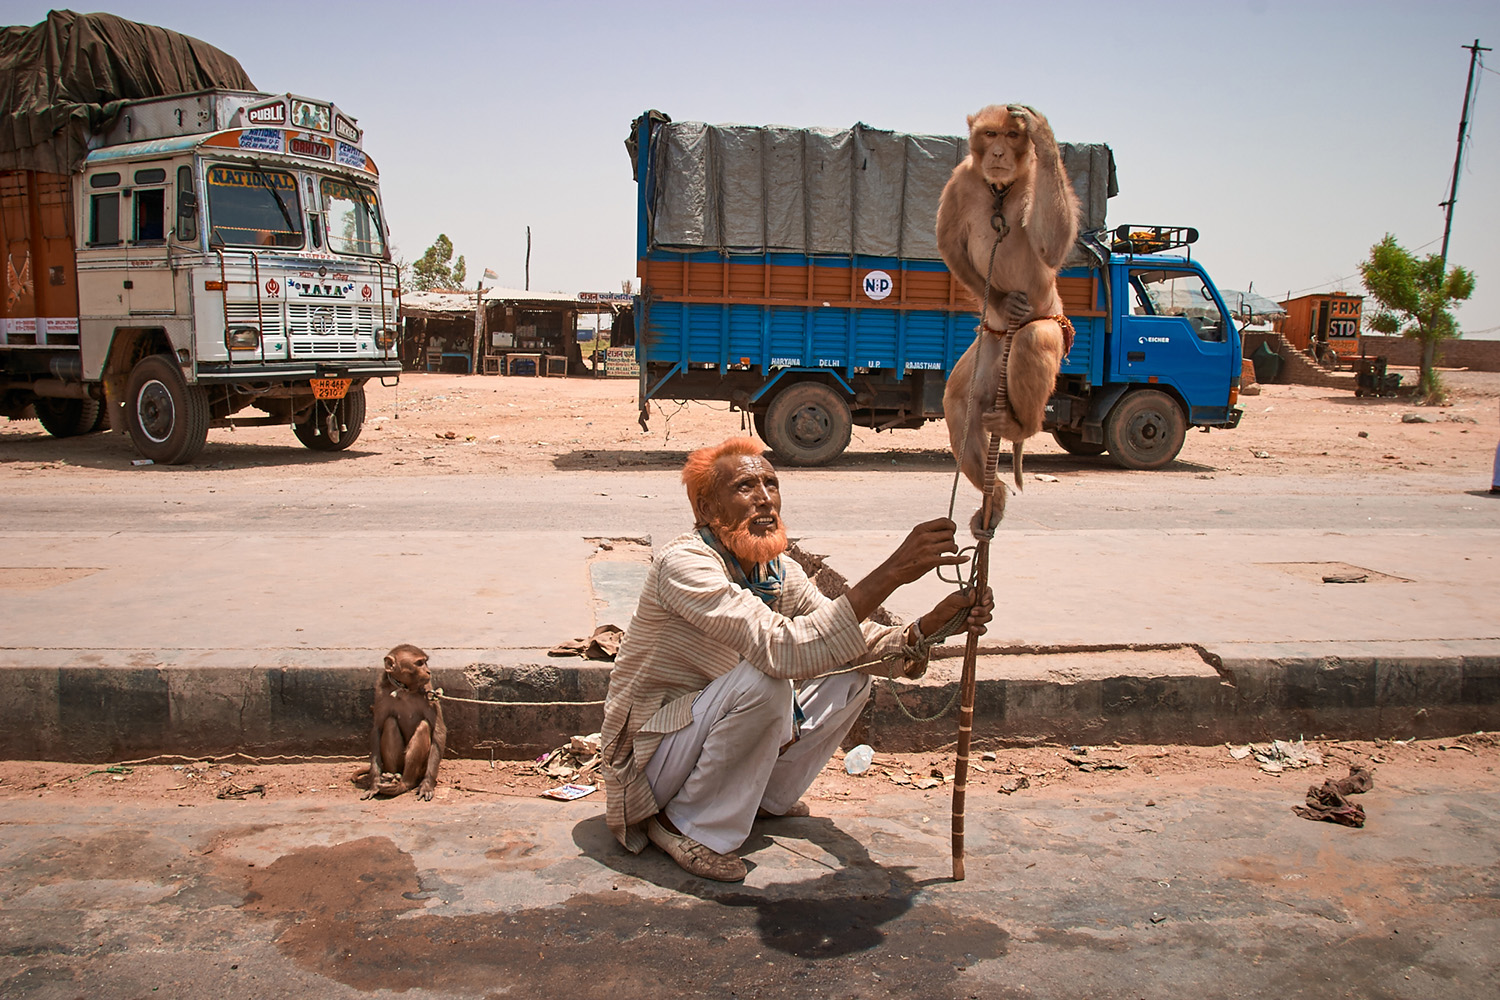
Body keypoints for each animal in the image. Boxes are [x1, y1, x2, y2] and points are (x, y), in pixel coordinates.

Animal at [351, 644, 444, 803]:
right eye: (419, 663)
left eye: (425, 662)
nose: (428, 671)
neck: (404, 689)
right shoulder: (381, 692)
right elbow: (377, 729)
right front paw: (374, 784)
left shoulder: (428, 691)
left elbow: (438, 732)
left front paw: (427, 785)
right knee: (390, 722)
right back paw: (391, 778)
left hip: (421, 767)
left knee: (423, 726)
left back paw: (405, 783)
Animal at [936, 105, 1080, 503]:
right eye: (990, 134)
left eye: (1012, 135)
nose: (999, 153)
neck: (999, 190)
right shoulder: (960, 179)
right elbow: (950, 244)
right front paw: (1003, 300)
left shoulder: (1034, 181)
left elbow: (1051, 246)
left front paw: (1043, 136)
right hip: (990, 342)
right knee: (959, 401)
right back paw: (994, 492)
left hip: (1052, 325)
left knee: (1034, 339)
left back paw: (1019, 428)